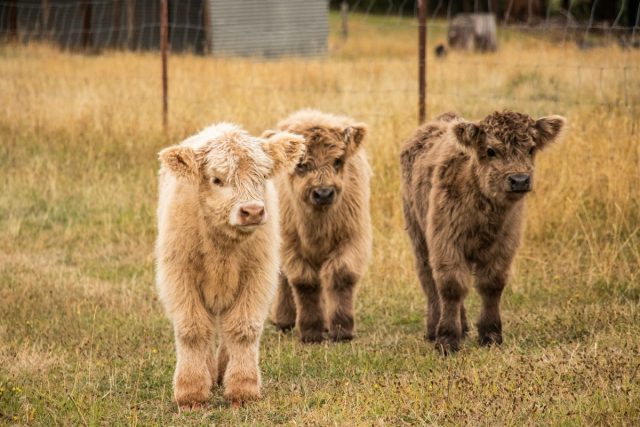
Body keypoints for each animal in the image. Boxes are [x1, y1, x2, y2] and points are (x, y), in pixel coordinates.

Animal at [155, 123, 304, 408]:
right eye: (216, 179)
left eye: (263, 176)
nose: (253, 211)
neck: (222, 247)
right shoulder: (179, 275)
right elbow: (192, 330)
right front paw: (191, 392)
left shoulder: (258, 276)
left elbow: (243, 329)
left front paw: (243, 388)